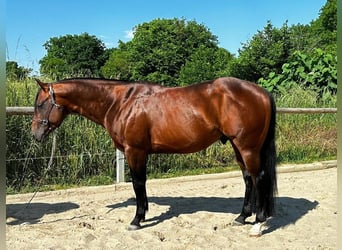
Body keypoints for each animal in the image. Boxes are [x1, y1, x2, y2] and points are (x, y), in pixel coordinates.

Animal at [31, 77, 278, 236]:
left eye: (41, 104)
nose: (35, 134)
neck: (121, 102)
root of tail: (262, 92)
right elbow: (141, 184)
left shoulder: (135, 151)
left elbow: (138, 184)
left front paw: (137, 220)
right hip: (238, 147)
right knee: (248, 179)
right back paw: (241, 217)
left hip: (247, 148)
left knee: (259, 179)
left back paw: (258, 224)